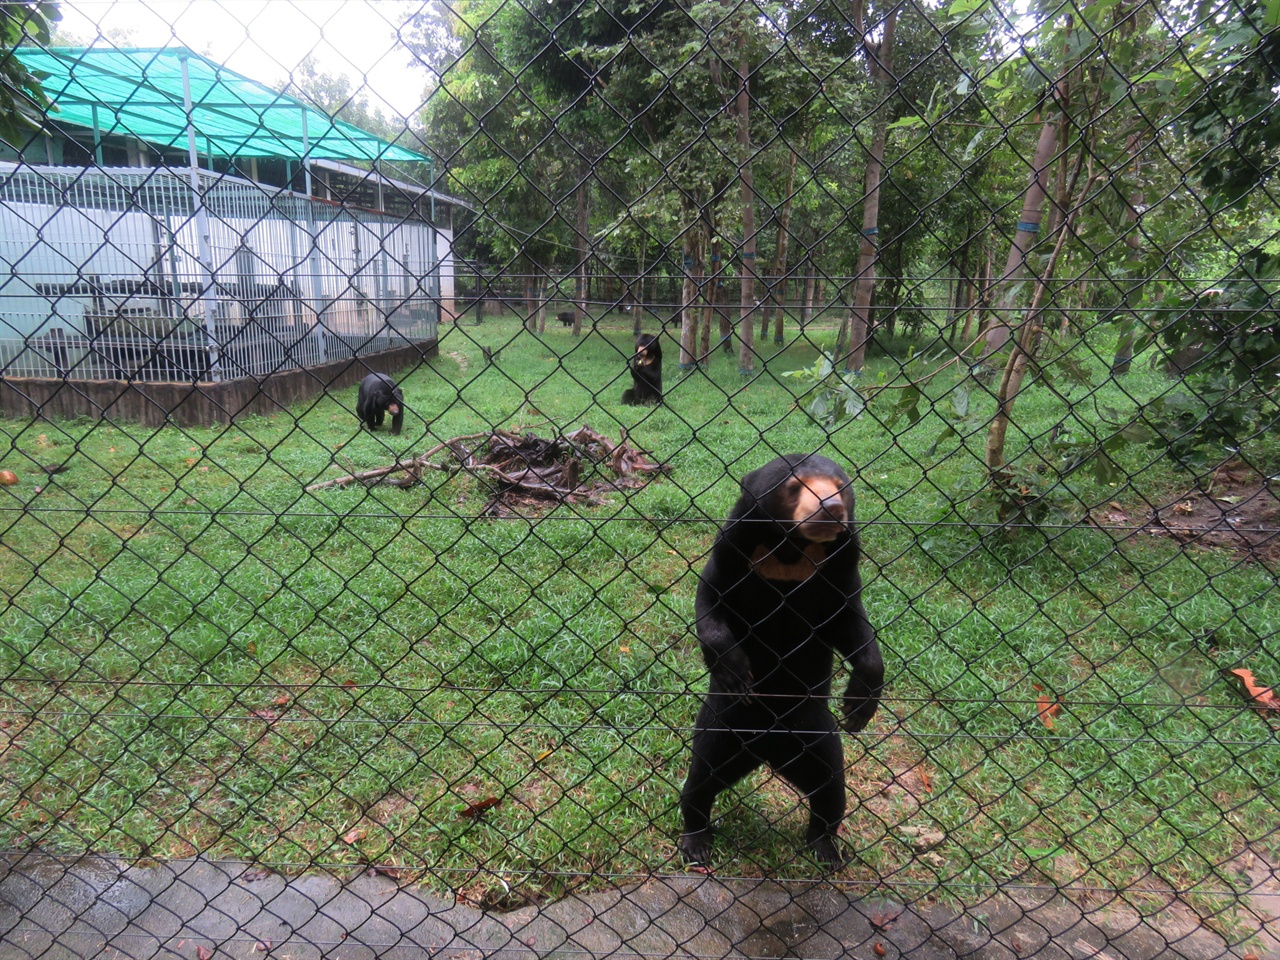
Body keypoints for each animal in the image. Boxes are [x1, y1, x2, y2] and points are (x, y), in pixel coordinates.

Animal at [680, 455, 880, 870]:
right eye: (794, 485)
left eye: (841, 487)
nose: (831, 509)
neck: (791, 550)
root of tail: (768, 751)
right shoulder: (732, 550)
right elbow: (710, 602)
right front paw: (737, 674)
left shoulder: (840, 566)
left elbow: (851, 623)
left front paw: (858, 707)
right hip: (723, 726)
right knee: (702, 776)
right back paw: (696, 840)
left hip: (816, 735)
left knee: (830, 788)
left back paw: (825, 847)